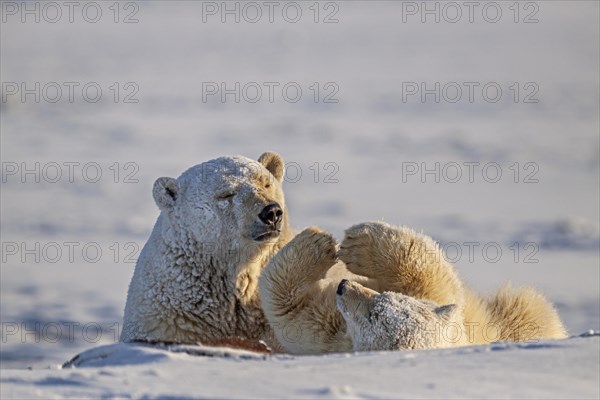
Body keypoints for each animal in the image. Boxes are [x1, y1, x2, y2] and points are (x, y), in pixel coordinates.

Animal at [258, 222, 568, 354]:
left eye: (374, 315)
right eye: (386, 296)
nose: (344, 286)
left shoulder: (336, 334)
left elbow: (292, 309)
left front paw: (320, 242)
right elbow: (425, 278)